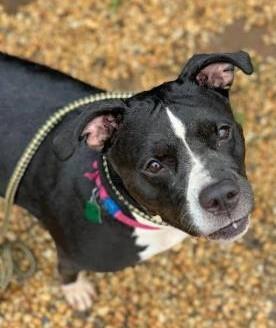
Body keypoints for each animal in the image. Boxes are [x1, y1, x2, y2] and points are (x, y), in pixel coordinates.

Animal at [0, 51, 254, 310]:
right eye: (154, 165)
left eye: (222, 132)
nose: (221, 196)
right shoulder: (69, 254)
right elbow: (67, 271)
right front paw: (76, 291)